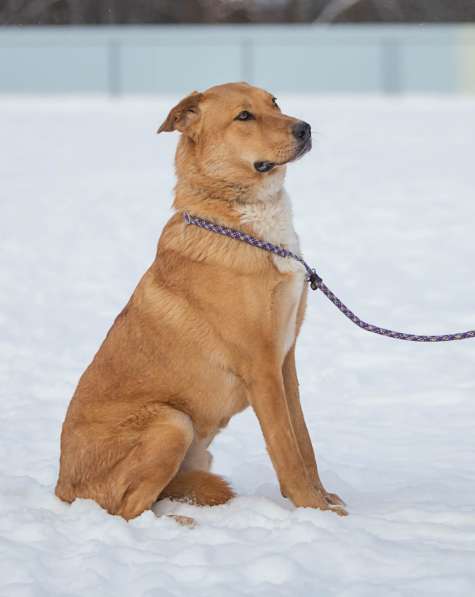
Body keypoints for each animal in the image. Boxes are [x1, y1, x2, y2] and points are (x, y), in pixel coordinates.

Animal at [55, 81, 348, 520]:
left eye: (274, 102)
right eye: (244, 116)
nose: (305, 128)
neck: (244, 220)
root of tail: (61, 487)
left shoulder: (285, 360)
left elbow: (303, 441)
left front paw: (322, 500)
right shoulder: (261, 367)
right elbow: (286, 449)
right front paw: (312, 508)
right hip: (172, 422)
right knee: (127, 510)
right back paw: (182, 522)